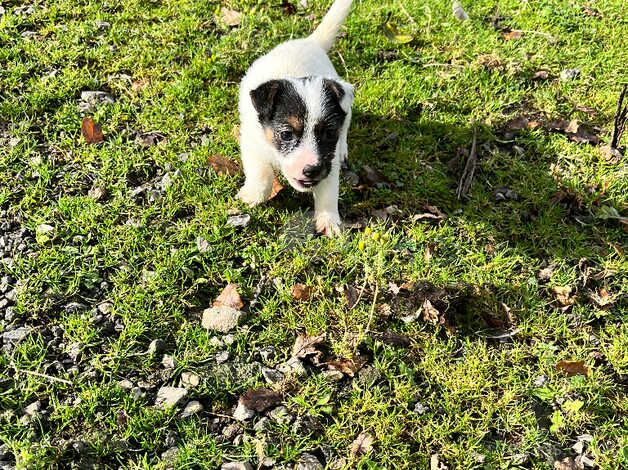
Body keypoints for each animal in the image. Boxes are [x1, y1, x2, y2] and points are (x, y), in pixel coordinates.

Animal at [237, 0, 354, 235]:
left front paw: (329, 220)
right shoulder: (251, 142)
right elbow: (260, 171)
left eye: (329, 133)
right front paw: (254, 195)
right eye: (286, 134)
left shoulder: (328, 160)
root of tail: (310, 43)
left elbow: (328, 190)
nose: (311, 170)